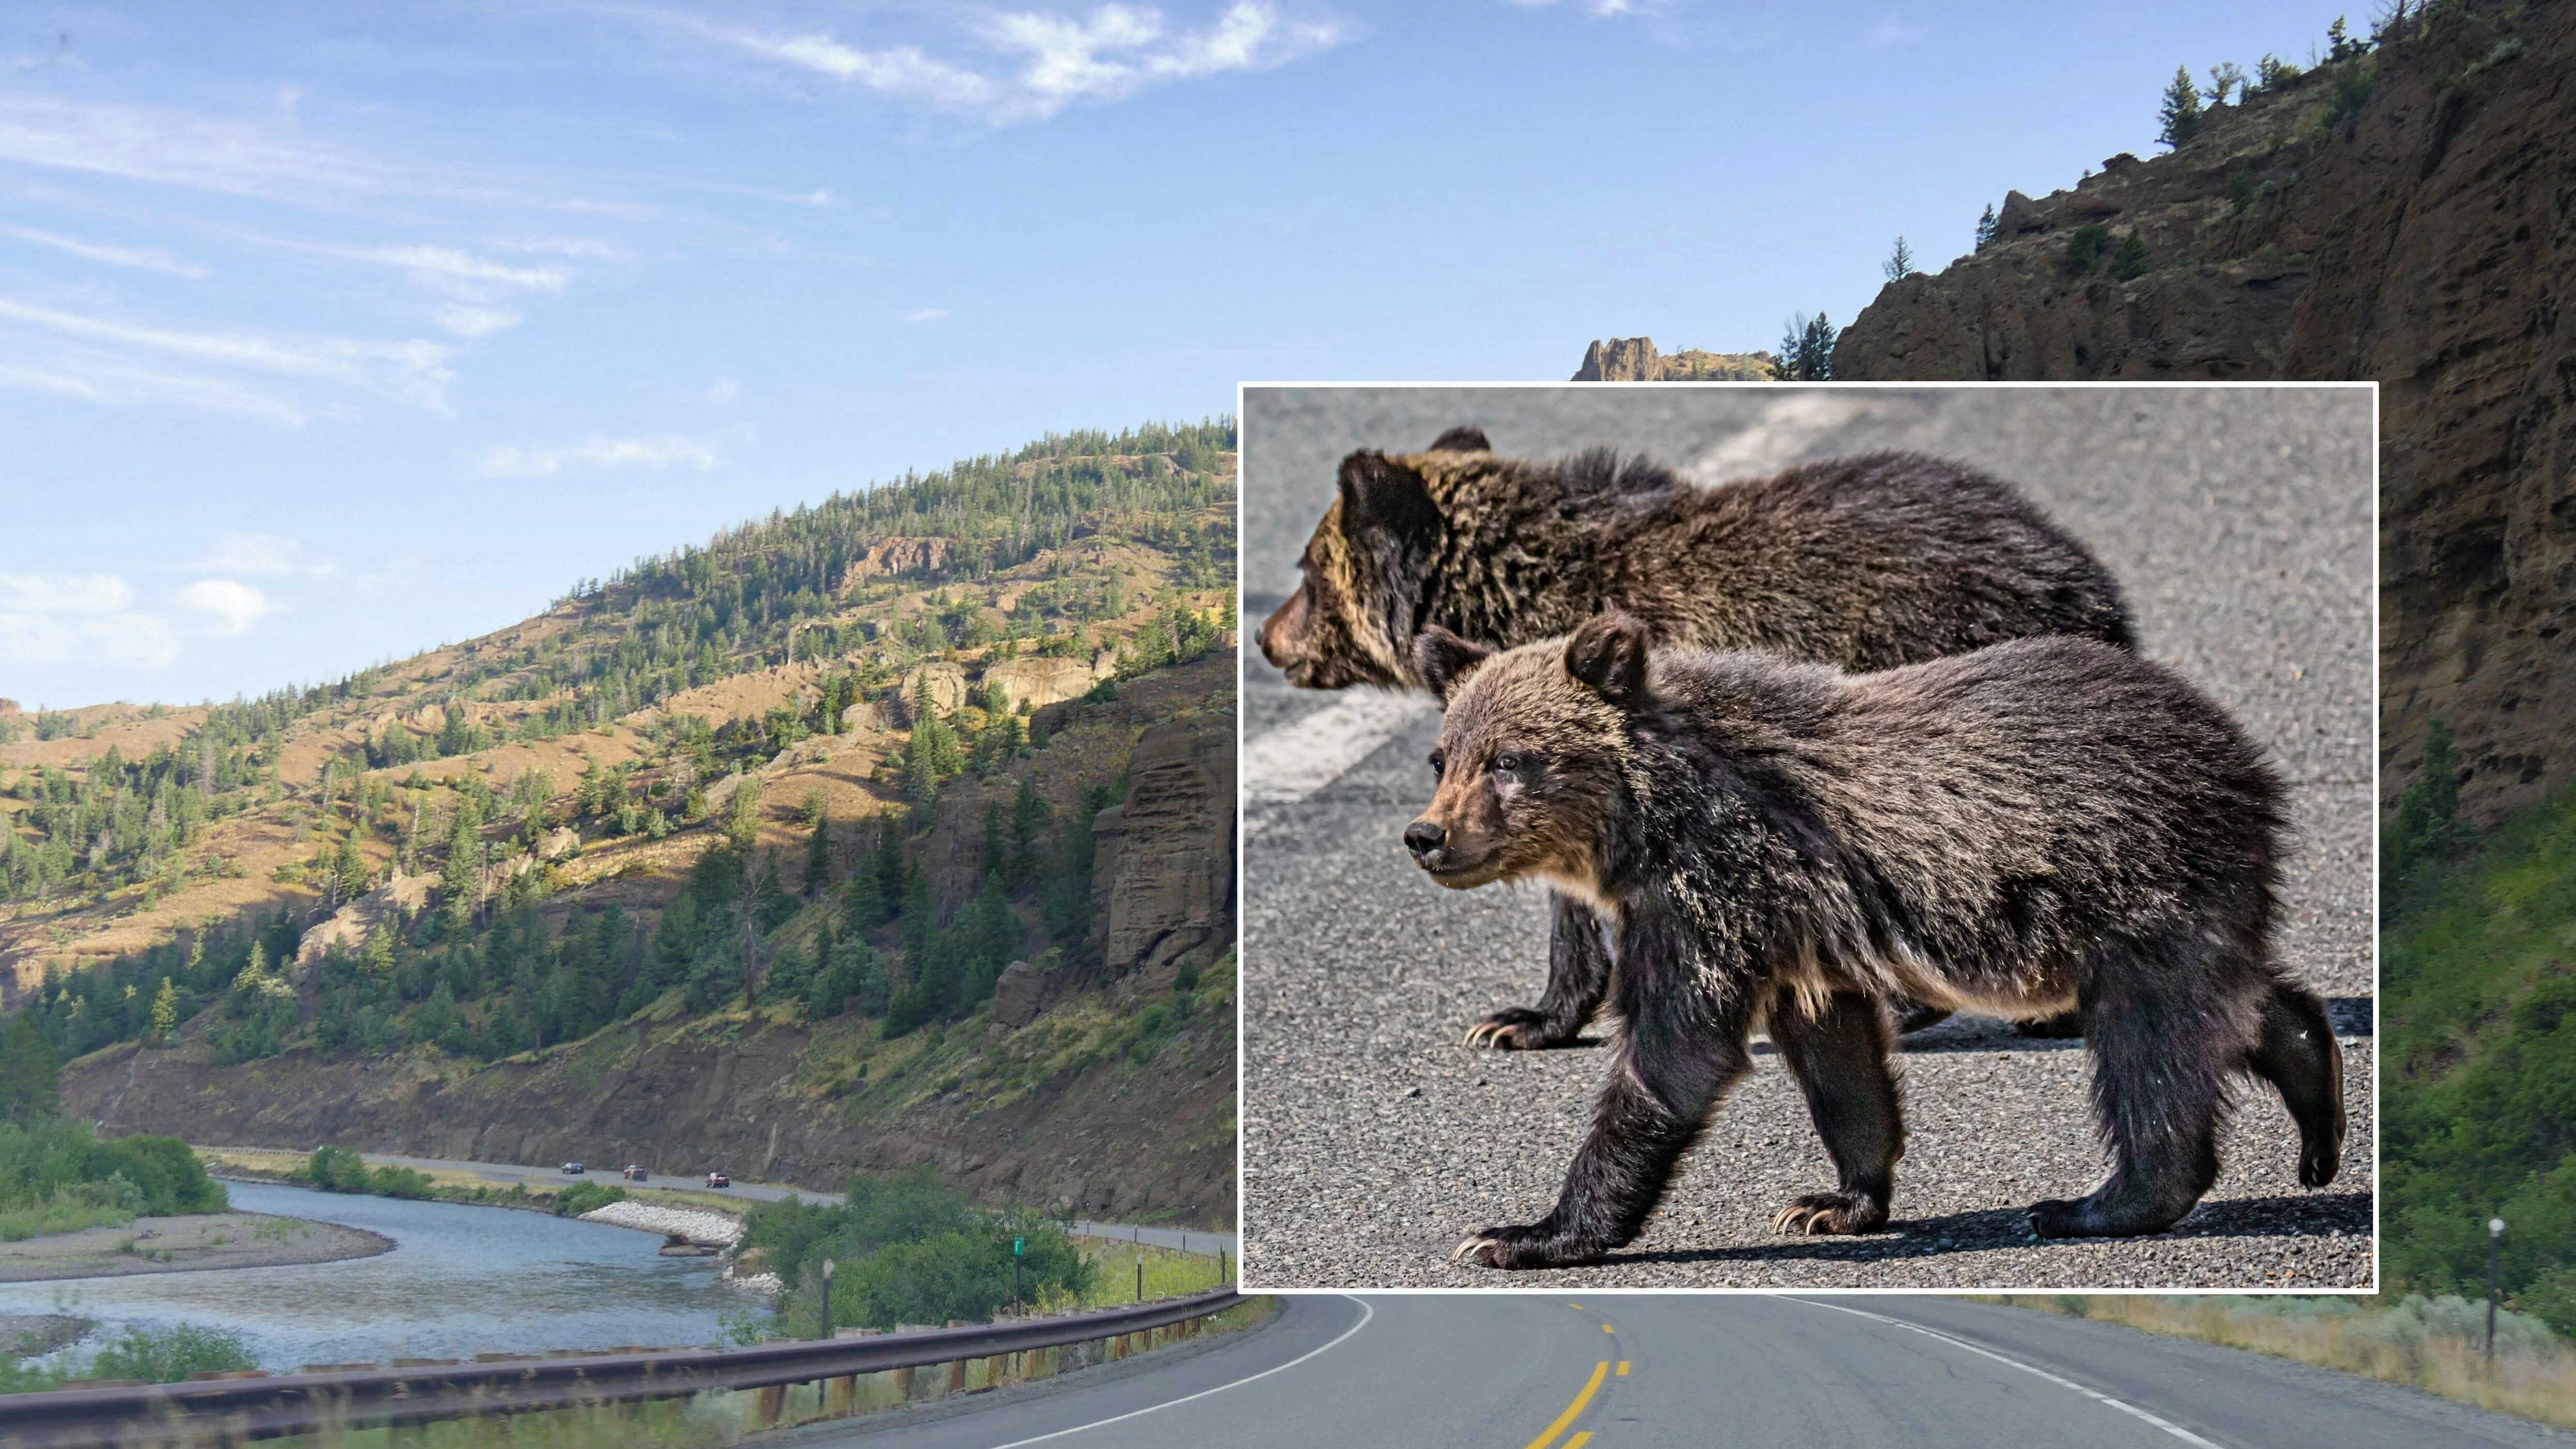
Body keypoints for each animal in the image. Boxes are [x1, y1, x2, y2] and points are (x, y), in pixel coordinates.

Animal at [1403, 614, 2344, 1268]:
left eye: (1510, 759)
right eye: (1443, 755)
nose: (1426, 835)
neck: (1646, 823)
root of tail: (2244, 755)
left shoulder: (1712, 886)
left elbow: (1675, 1053)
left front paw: (1523, 1232)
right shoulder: (1797, 935)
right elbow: (1839, 1061)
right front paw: (1835, 1200)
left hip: (2134, 881)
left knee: (2151, 1046)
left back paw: (2094, 1202)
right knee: (2226, 1005)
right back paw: (2317, 1113)